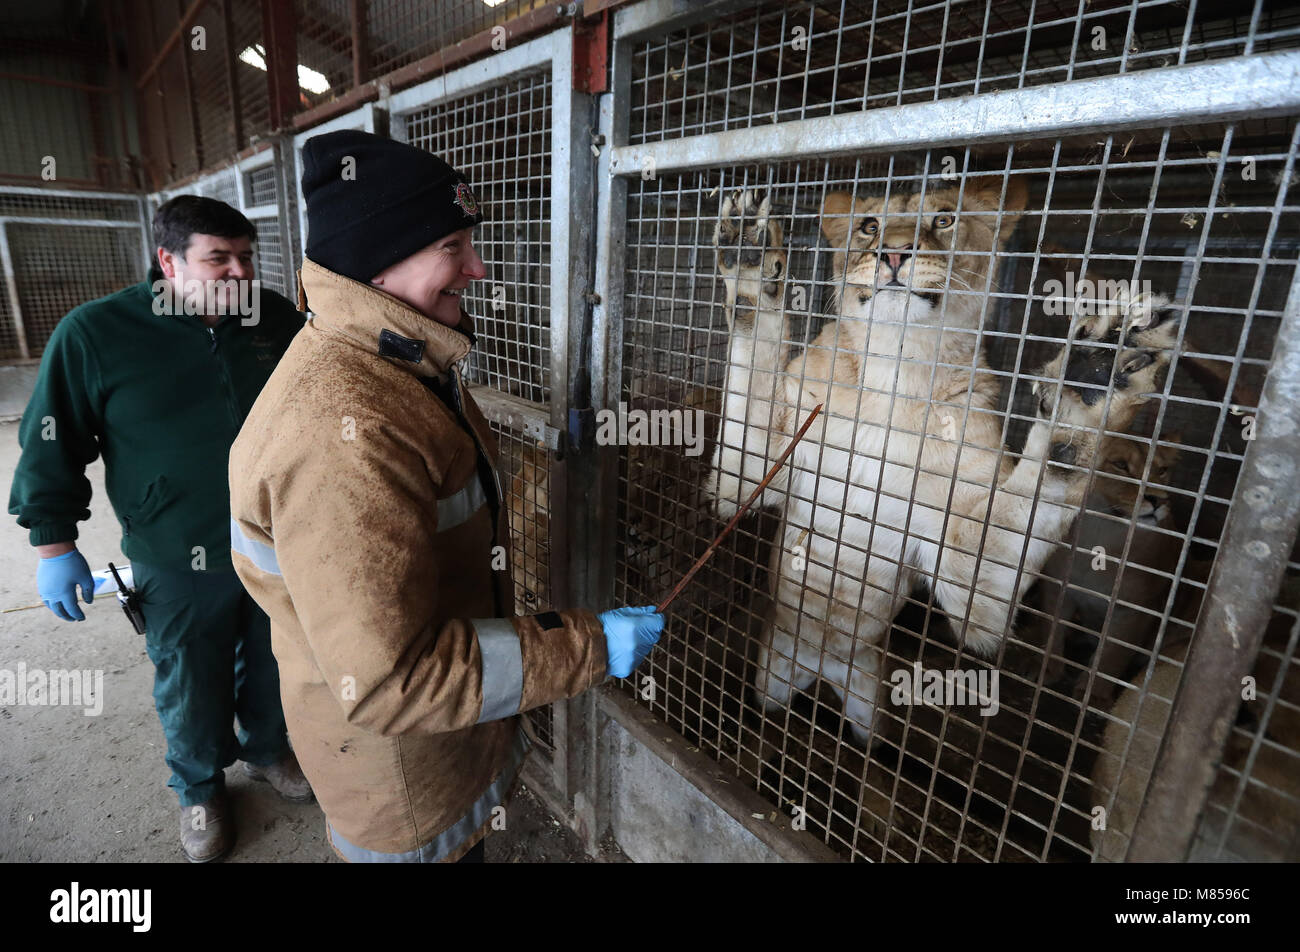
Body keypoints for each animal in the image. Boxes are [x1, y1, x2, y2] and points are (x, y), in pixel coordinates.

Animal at [707, 184, 1185, 749]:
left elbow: (1048, 476)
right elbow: (755, 354)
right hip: (771, 674)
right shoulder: (751, 466)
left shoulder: (971, 579)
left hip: (871, 703)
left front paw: (1096, 374)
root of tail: (823, 662)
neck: (897, 369)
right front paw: (748, 252)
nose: (893, 253)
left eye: (943, 219)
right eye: (870, 225)